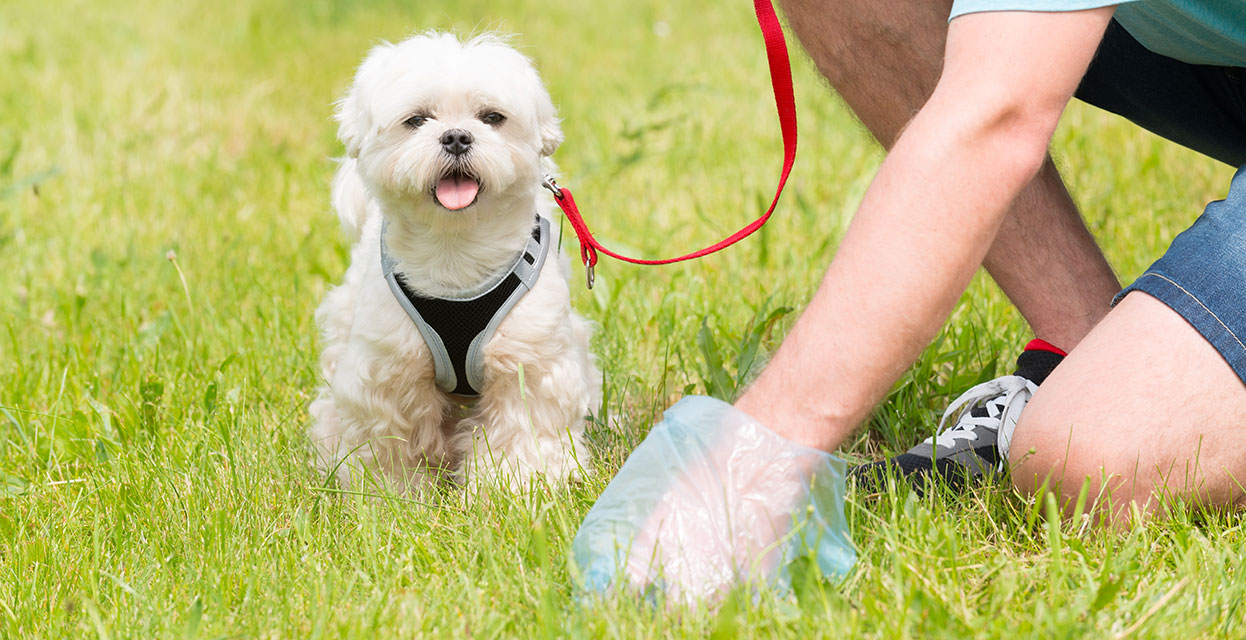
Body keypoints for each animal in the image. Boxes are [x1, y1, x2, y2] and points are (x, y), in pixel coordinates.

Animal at [311, 32, 603, 490]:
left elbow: (521, 430)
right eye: (416, 120)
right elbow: (390, 440)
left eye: (492, 117)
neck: (456, 252)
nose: (456, 137)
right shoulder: (388, 369)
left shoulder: (529, 361)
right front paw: (391, 492)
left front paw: (515, 487)